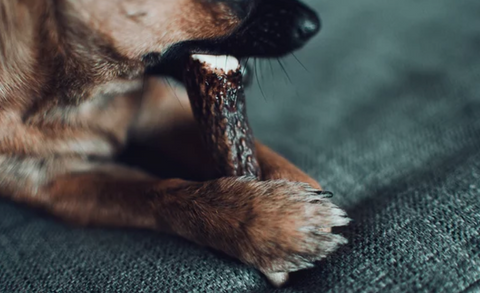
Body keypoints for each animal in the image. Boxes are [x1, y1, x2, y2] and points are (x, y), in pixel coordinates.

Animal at [0, 0, 348, 288]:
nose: (314, 24)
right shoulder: (52, 182)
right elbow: (159, 193)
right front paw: (269, 220)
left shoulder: (163, 108)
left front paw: (286, 184)